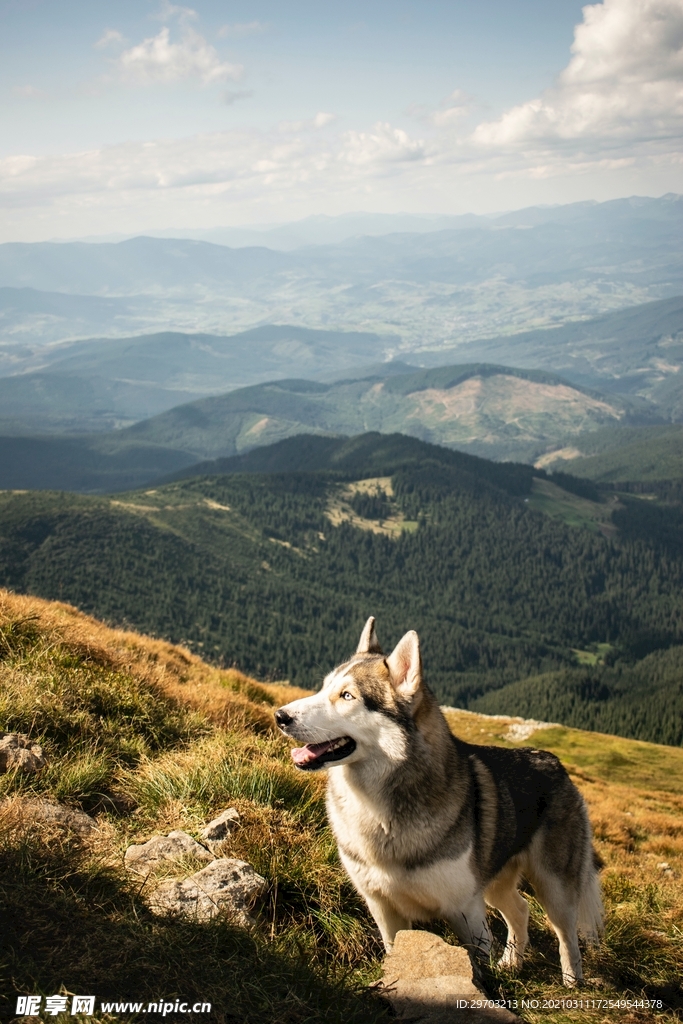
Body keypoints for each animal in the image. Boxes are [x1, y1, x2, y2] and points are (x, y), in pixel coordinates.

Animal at [274, 614, 602, 983]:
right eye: (323, 688)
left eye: (347, 696)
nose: (280, 716)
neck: (379, 812)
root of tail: (556, 763)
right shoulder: (383, 907)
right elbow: (393, 951)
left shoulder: (465, 911)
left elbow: (477, 966)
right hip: (494, 884)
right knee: (520, 909)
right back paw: (511, 964)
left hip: (553, 886)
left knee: (566, 934)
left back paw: (572, 981)